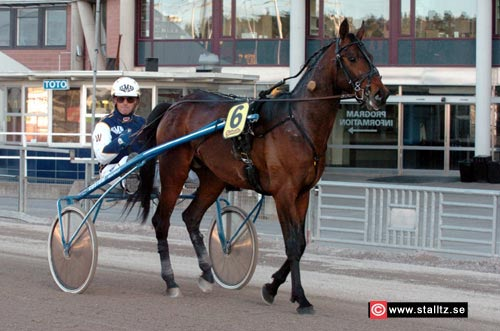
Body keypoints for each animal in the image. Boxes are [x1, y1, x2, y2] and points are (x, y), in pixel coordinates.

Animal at [127, 19, 388, 316]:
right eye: (352, 57)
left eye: (371, 56)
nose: (381, 93)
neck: (298, 122)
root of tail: (175, 105)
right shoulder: (284, 192)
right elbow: (293, 244)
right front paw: (300, 298)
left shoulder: (303, 194)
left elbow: (302, 243)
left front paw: (271, 287)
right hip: (174, 169)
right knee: (162, 220)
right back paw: (170, 281)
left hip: (213, 178)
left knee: (191, 217)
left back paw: (206, 274)